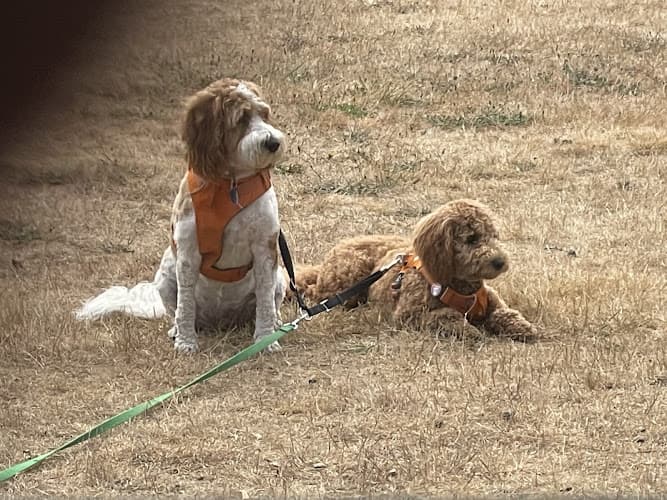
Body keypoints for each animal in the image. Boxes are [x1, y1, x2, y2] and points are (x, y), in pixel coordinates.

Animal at [77, 78, 288, 352]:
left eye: (264, 114)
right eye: (241, 119)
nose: (273, 143)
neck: (231, 186)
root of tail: (221, 319)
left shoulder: (265, 249)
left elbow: (264, 300)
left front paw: (265, 340)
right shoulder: (188, 252)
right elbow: (185, 304)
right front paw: (186, 342)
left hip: (280, 275)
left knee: (270, 303)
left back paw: (276, 324)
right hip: (166, 273)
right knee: (178, 310)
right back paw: (177, 330)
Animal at [294, 199, 536, 340]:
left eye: (494, 236)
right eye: (472, 239)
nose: (500, 262)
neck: (459, 285)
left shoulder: (491, 302)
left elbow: (505, 312)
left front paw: (523, 327)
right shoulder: (409, 314)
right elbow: (445, 315)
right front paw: (469, 330)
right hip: (347, 281)